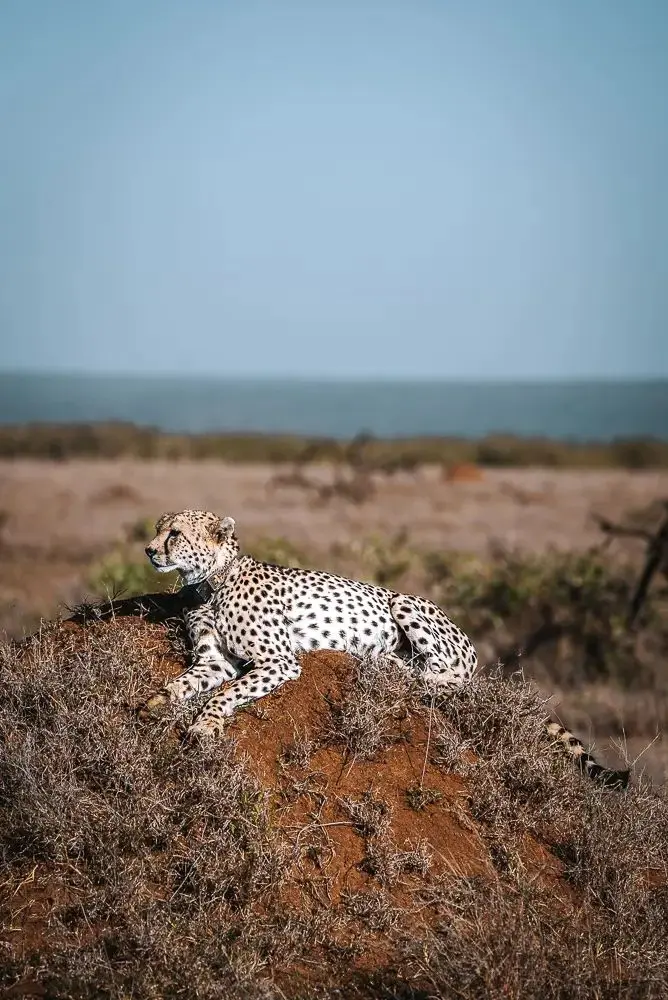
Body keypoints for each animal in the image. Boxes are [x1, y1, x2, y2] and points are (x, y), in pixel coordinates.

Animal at [141, 509, 629, 789]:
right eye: (158, 530)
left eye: (175, 534)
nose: (148, 551)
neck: (210, 581)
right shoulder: (214, 660)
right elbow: (188, 681)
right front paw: (157, 701)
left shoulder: (278, 661)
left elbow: (226, 693)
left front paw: (206, 725)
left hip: (404, 602)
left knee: (448, 675)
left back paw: (396, 668)